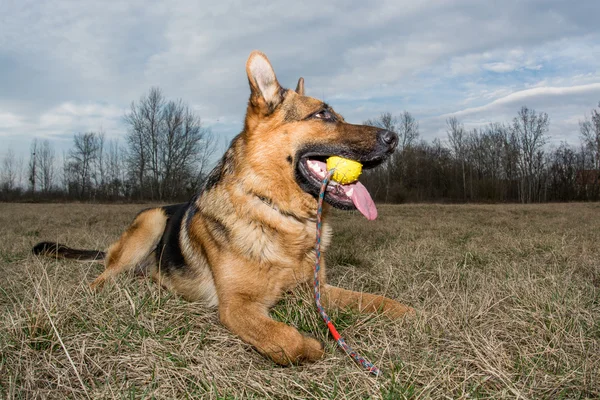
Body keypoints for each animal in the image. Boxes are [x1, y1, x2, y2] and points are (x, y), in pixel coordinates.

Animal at [32, 51, 414, 364]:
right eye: (323, 114)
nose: (394, 138)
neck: (278, 214)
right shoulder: (236, 307)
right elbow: (285, 340)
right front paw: (310, 346)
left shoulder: (314, 291)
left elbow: (375, 299)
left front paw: (408, 311)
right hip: (151, 222)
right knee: (102, 277)